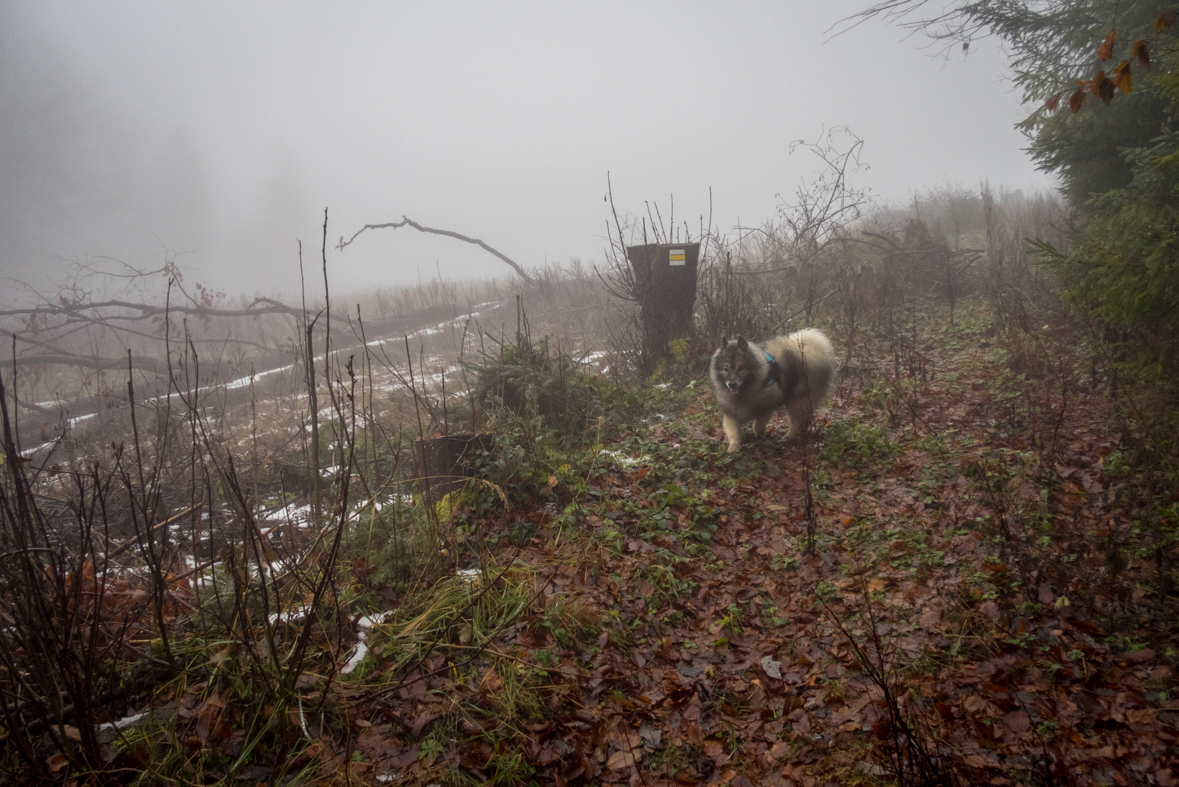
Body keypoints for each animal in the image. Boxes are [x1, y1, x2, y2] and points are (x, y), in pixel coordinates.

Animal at [702, 329, 834, 452]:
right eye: (726, 369)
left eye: (741, 368)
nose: (732, 384)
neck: (746, 391)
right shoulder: (731, 411)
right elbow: (733, 432)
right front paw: (734, 447)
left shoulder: (766, 406)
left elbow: (757, 425)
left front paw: (758, 433)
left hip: (796, 400)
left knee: (799, 421)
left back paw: (788, 437)